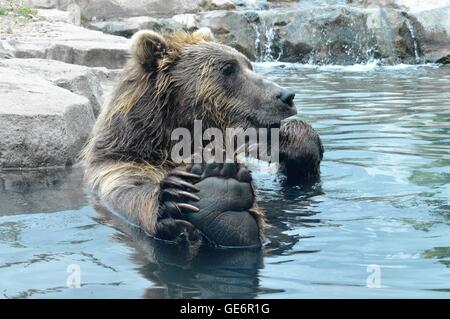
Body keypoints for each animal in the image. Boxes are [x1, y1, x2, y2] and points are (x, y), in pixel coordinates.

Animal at [81, 28, 324, 249]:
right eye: (228, 68)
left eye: (249, 65)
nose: (285, 96)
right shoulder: (121, 163)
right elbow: (131, 190)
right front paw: (197, 194)